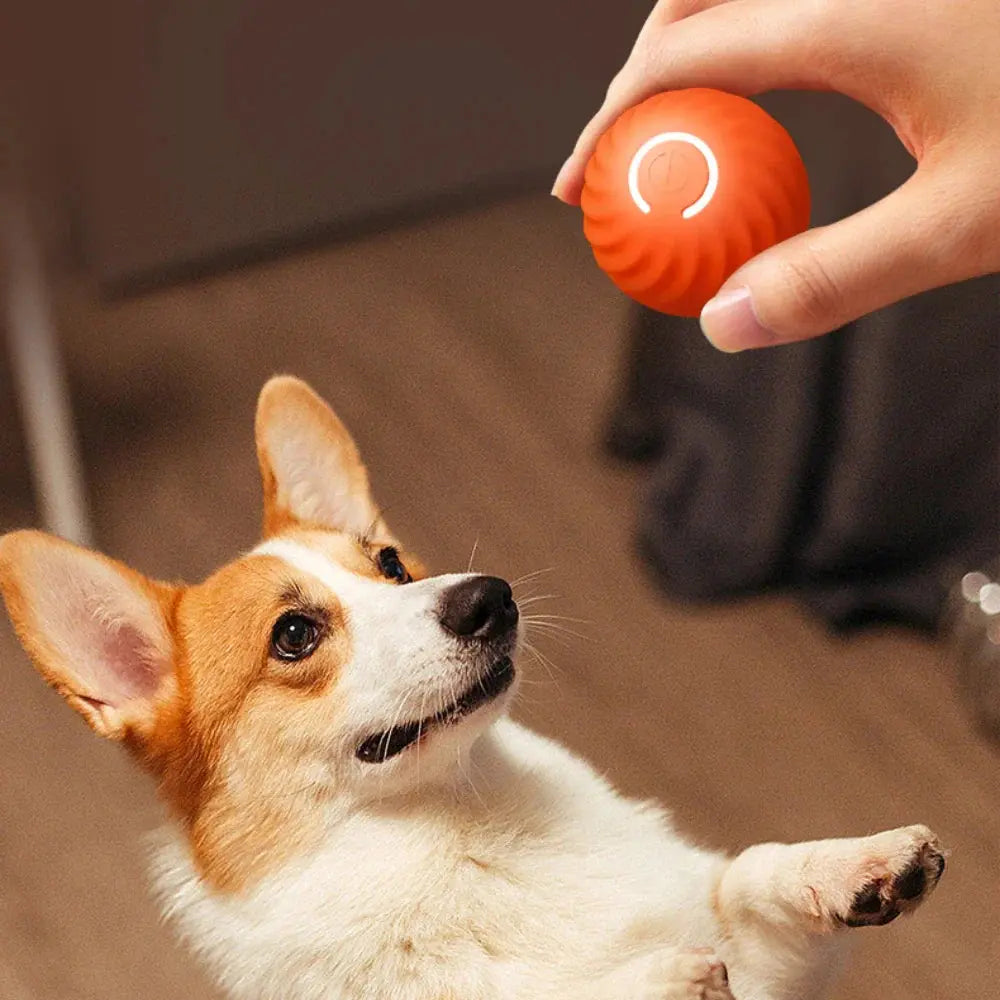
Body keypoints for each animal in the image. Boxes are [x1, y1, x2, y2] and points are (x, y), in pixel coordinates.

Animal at [0, 376, 944, 1000]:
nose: (491, 597)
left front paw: (863, 863)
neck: (466, 828)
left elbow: (748, 874)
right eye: (295, 635)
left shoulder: (761, 962)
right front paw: (657, 978)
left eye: (389, 563)